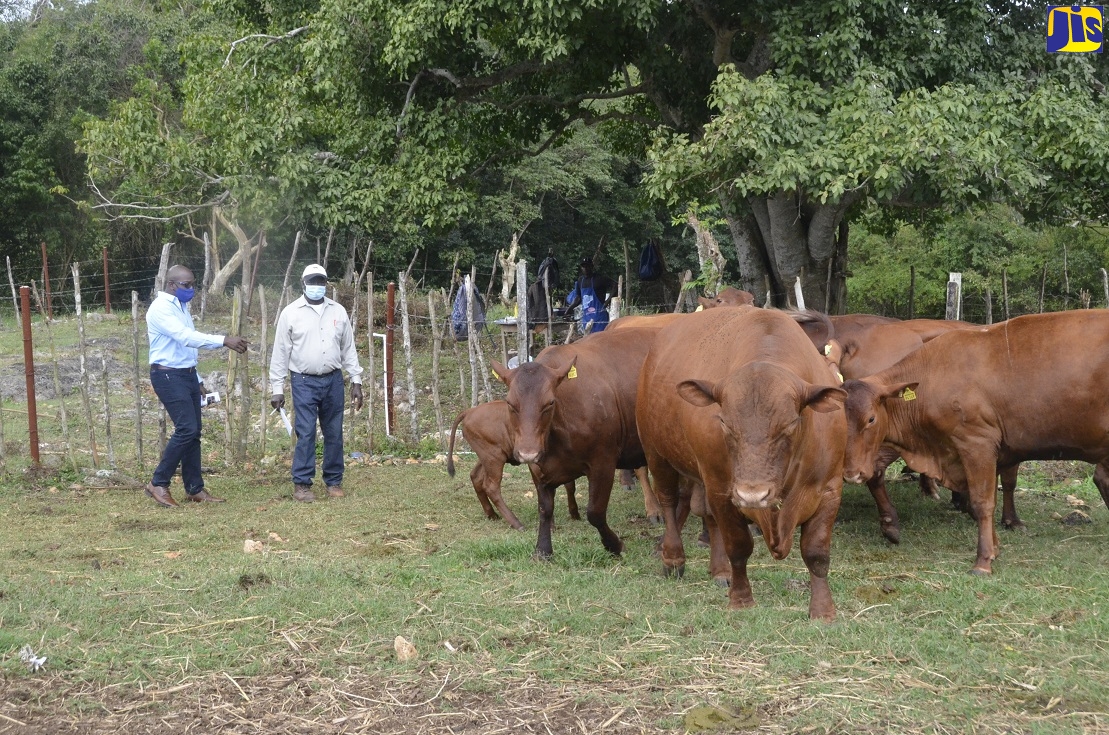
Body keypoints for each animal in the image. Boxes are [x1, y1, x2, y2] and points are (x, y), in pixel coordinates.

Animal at [446, 402, 578, 529]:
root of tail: (469, 411)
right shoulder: (535, 464)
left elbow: (570, 485)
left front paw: (575, 514)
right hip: (495, 458)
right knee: (491, 487)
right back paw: (517, 524)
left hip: (488, 458)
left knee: (475, 476)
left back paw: (492, 515)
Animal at [491, 326, 664, 560]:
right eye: (510, 403)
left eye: (550, 403)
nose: (527, 453)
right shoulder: (538, 468)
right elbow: (545, 510)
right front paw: (542, 550)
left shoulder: (603, 462)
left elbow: (595, 512)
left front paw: (614, 545)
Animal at [637, 307, 847, 620]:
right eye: (724, 422)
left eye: (790, 424)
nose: (753, 495)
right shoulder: (722, 490)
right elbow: (738, 546)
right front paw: (741, 600)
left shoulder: (830, 489)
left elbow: (817, 553)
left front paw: (823, 611)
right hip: (658, 454)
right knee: (668, 502)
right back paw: (673, 559)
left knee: (706, 515)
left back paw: (719, 570)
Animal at [841, 310, 1109, 575]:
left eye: (871, 419)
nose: (851, 474)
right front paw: (994, 547)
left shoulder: (977, 443)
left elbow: (983, 501)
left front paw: (984, 559)